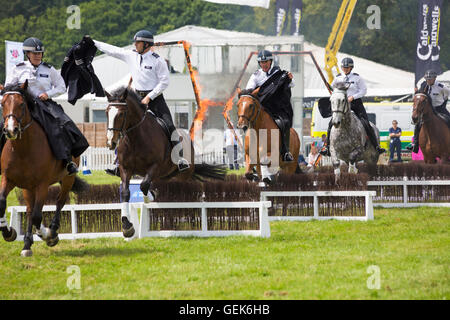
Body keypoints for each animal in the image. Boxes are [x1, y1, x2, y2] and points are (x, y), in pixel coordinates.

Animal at [0, 82, 88, 258]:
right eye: (2, 104)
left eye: (21, 104)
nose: (11, 130)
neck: (22, 149)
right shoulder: (8, 179)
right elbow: (2, 204)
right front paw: (9, 233)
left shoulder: (42, 184)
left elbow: (37, 216)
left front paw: (47, 235)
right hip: (28, 187)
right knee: (28, 210)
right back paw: (27, 244)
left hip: (67, 179)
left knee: (59, 201)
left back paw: (52, 232)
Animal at [104, 86, 225, 236]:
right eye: (106, 112)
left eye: (121, 114)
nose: (111, 142)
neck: (135, 138)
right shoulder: (125, 168)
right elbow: (125, 192)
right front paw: (127, 227)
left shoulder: (155, 166)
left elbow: (144, 185)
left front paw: (150, 197)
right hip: (166, 175)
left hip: (183, 174)